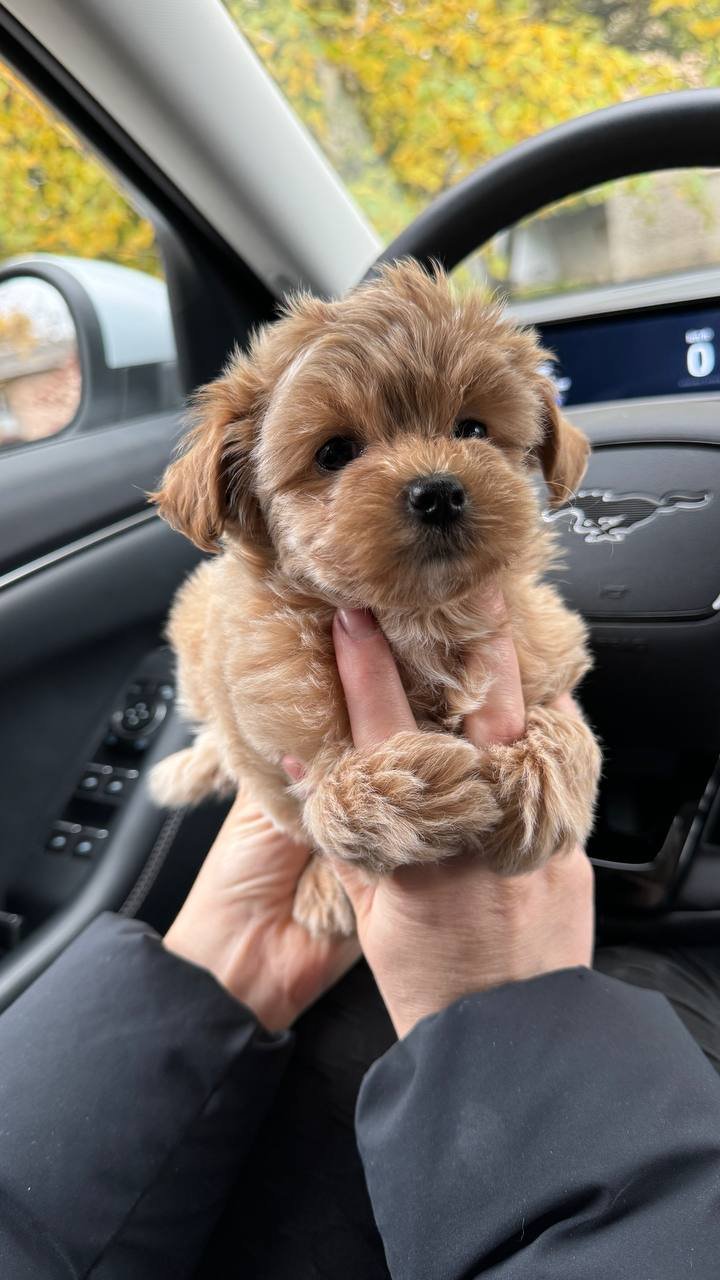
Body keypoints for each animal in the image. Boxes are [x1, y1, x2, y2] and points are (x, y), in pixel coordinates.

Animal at [151, 262, 599, 942]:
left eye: (471, 429)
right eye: (335, 452)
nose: (438, 491)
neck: (419, 618)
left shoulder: (547, 651)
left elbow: (573, 728)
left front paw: (545, 783)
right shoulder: (270, 752)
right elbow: (313, 810)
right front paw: (396, 794)